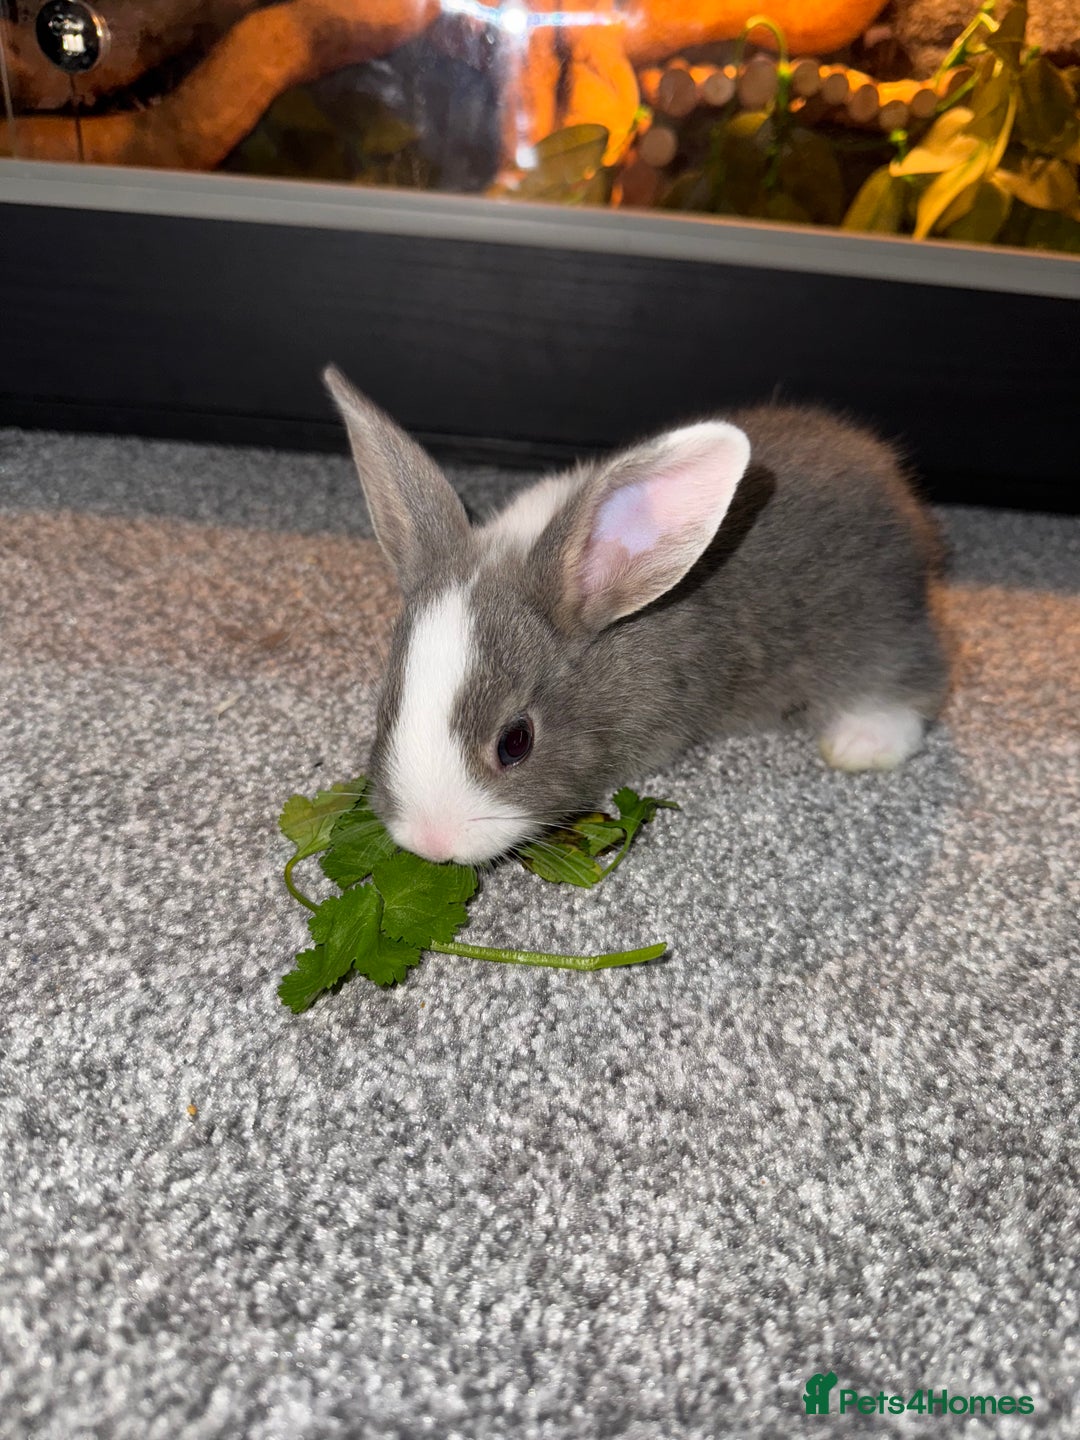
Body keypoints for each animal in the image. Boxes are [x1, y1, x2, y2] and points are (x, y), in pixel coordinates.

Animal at [324, 365, 948, 866]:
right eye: (385, 709)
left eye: (515, 742)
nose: (431, 843)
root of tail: (898, 490)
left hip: (878, 624)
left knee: (916, 678)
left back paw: (861, 742)